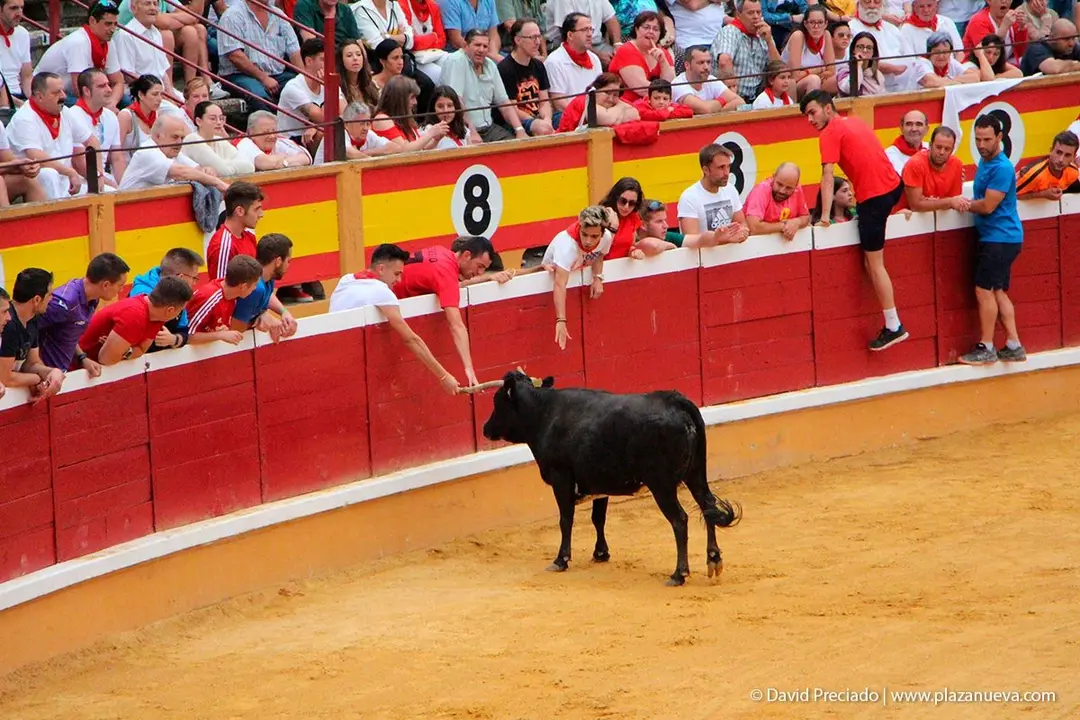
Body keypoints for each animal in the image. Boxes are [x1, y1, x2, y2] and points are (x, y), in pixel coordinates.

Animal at [482, 370, 741, 586]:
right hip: (696, 473)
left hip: (662, 485)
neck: (544, 413)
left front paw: (561, 560)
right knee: (708, 506)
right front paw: (601, 553)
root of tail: (677, 401)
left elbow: (566, 519)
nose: (485, 428)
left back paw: (679, 574)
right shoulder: (599, 483)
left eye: (497, 401)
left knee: (680, 520)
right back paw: (713, 559)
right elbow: (598, 518)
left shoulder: (561, 478)